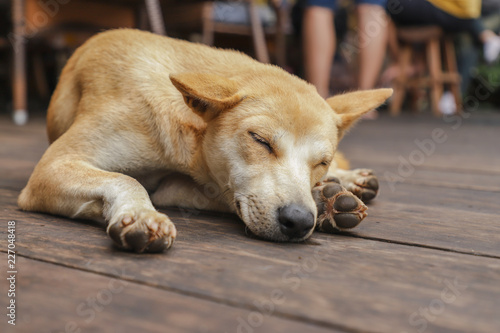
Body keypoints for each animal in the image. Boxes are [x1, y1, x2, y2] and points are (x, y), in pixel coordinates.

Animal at [17, 29, 390, 252]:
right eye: (260, 141)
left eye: (321, 162)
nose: (299, 220)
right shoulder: (53, 167)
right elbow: (126, 179)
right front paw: (139, 214)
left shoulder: (184, 185)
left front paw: (325, 198)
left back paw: (343, 184)